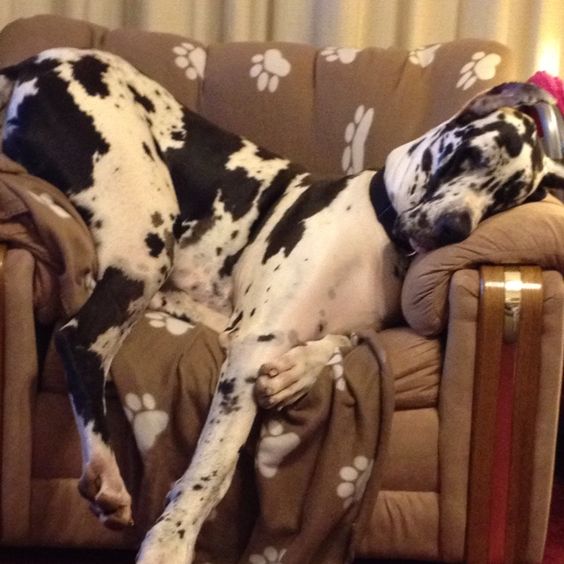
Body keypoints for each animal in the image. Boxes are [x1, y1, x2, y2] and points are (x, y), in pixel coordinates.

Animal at [1, 47, 564, 560]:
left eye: (508, 200)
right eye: (469, 154)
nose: (454, 229)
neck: (379, 232)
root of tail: (33, 61)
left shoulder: (288, 336)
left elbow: (344, 338)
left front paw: (295, 371)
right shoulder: (251, 348)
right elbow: (214, 469)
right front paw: (171, 542)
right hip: (147, 229)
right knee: (81, 338)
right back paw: (105, 471)